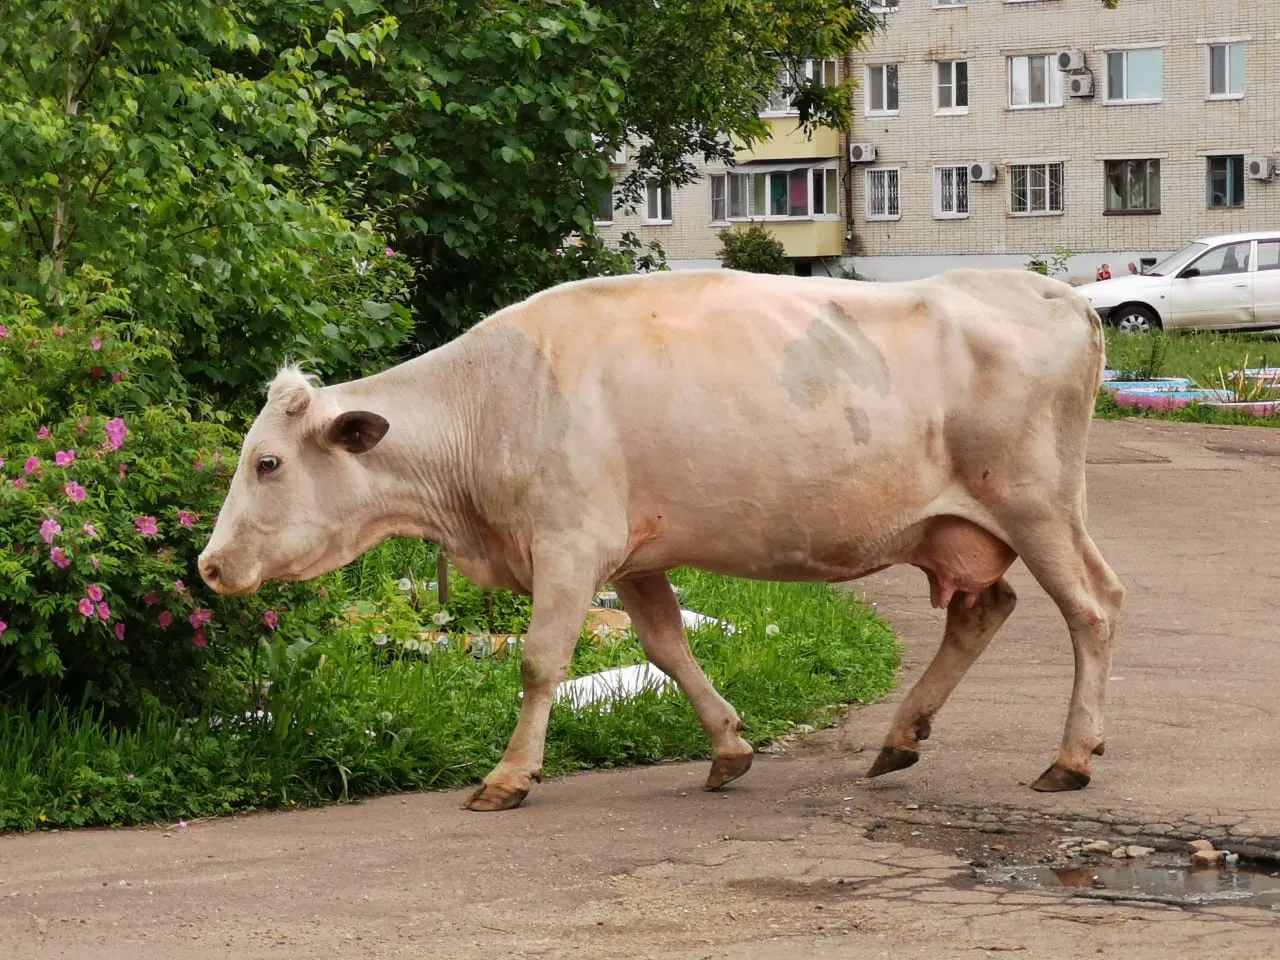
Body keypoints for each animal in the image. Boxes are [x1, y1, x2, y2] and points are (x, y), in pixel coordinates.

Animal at [194, 264, 1126, 814]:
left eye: (268, 462)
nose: (209, 564)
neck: (486, 404)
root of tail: (1054, 291)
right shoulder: (630, 557)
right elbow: (669, 648)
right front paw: (728, 748)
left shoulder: (569, 544)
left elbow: (539, 661)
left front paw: (508, 776)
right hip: (960, 525)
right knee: (983, 610)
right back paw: (901, 736)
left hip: (1037, 501)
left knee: (1091, 605)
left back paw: (1071, 756)